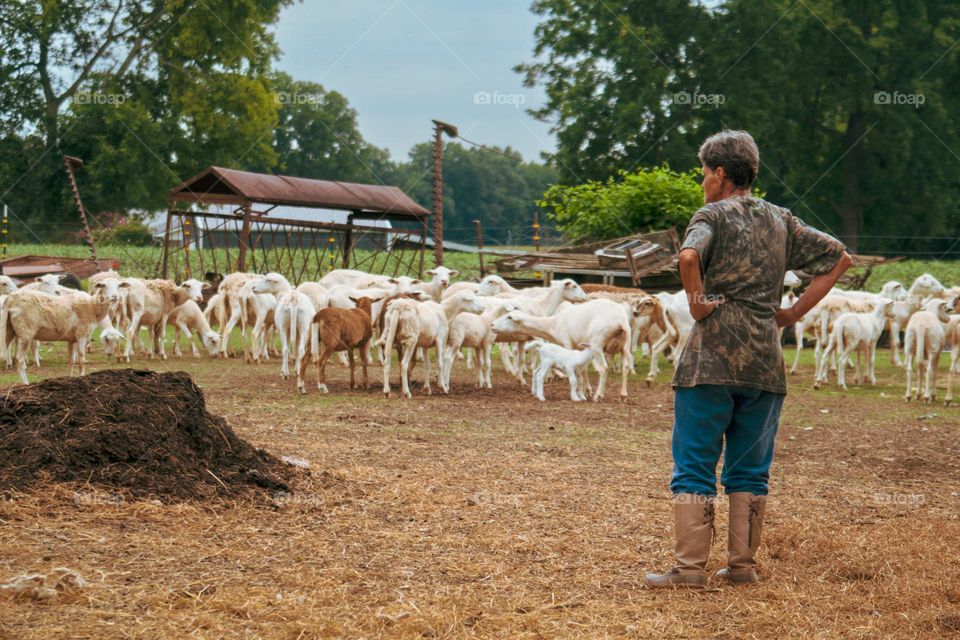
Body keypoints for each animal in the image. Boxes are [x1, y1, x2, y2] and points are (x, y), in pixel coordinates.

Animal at [492, 298, 632, 400]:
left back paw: (599, 395)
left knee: (604, 368)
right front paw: (586, 390)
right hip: (625, 344)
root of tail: (620, 321)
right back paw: (623, 395)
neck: (553, 325)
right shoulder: (580, 347)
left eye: (509, 317)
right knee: (625, 367)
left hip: (597, 343)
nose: (492, 324)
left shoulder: (567, 343)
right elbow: (583, 370)